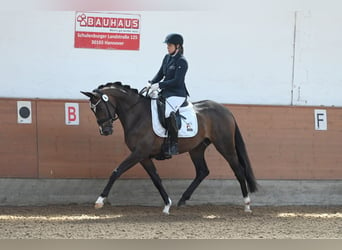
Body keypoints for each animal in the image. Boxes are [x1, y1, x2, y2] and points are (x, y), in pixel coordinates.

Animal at [81, 81, 256, 214]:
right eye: (92, 110)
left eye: (100, 108)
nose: (105, 131)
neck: (137, 114)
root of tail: (226, 110)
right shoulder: (143, 156)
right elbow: (156, 179)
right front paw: (167, 205)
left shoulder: (139, 153)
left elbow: (116, 171)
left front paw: (99, 200)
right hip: (197, 148)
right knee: (202, 171)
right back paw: (183, 199)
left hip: (225, 145)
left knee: (238, 169)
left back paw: (247, 205)